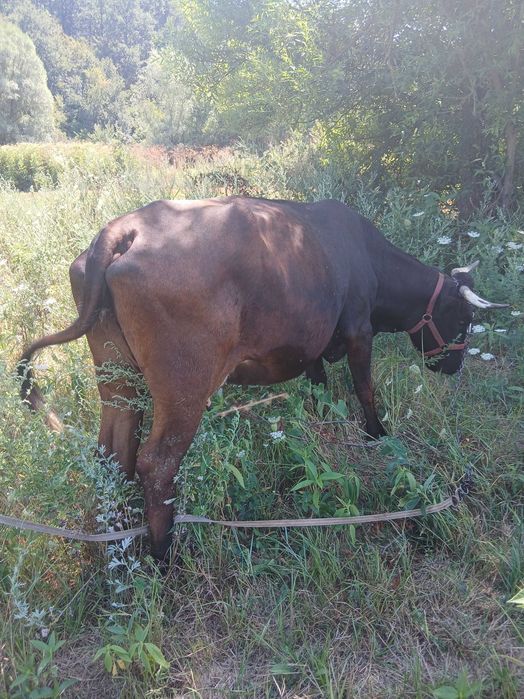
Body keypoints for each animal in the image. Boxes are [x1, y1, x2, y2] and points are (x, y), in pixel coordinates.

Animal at [18, 197, 508, 559]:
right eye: (464, 319)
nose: (454, 366)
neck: (364, 257)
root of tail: (125, 229)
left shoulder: (313, 345)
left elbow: (318, 385)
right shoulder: (359, 331)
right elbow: (365, 389)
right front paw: (377, 433)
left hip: (119, 383)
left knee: (112, 453)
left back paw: (117, 542)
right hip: (184, 390)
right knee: (156, 465)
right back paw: (162, 554)